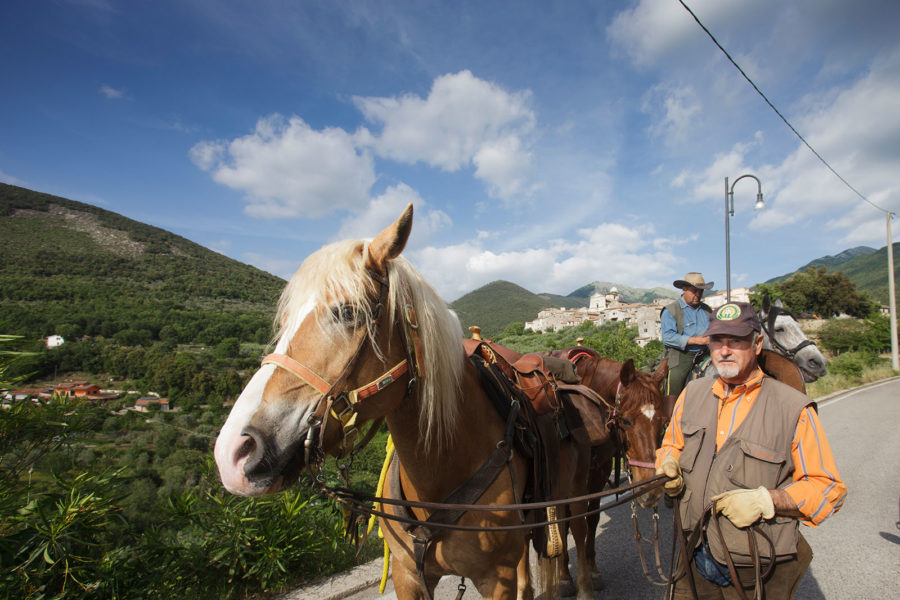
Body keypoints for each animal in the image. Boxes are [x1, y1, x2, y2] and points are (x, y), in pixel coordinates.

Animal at [215, 205, 596, 600]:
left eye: (348, 312)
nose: (234, 452)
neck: (443, 467)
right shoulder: (408, 574)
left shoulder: (496, 579)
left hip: (577, 494)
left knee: (582, 532)